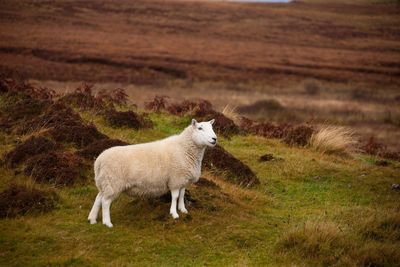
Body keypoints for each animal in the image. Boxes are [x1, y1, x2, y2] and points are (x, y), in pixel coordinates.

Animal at [87, 119, 217, 228]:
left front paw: (183, 209)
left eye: (212, 128)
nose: (214, 139)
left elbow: (181, 195)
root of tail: (99, 161)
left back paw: (92, 219)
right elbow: (175, 196)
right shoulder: (175, 179)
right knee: (105, 202)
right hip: (113, 183)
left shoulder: (183, 180)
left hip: (105, 182)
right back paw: (107, 223)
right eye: (200, 128)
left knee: (99, 198)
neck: (184, 149)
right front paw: (174, 213)